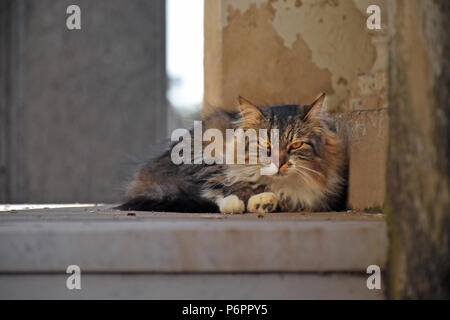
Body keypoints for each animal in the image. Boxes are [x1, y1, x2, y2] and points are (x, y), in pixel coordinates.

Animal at [118, 94, 346, 214]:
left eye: (296, 145)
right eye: (265, 143)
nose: (279, 163)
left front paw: (265, 201)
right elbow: (231, 187)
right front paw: (252, 201)